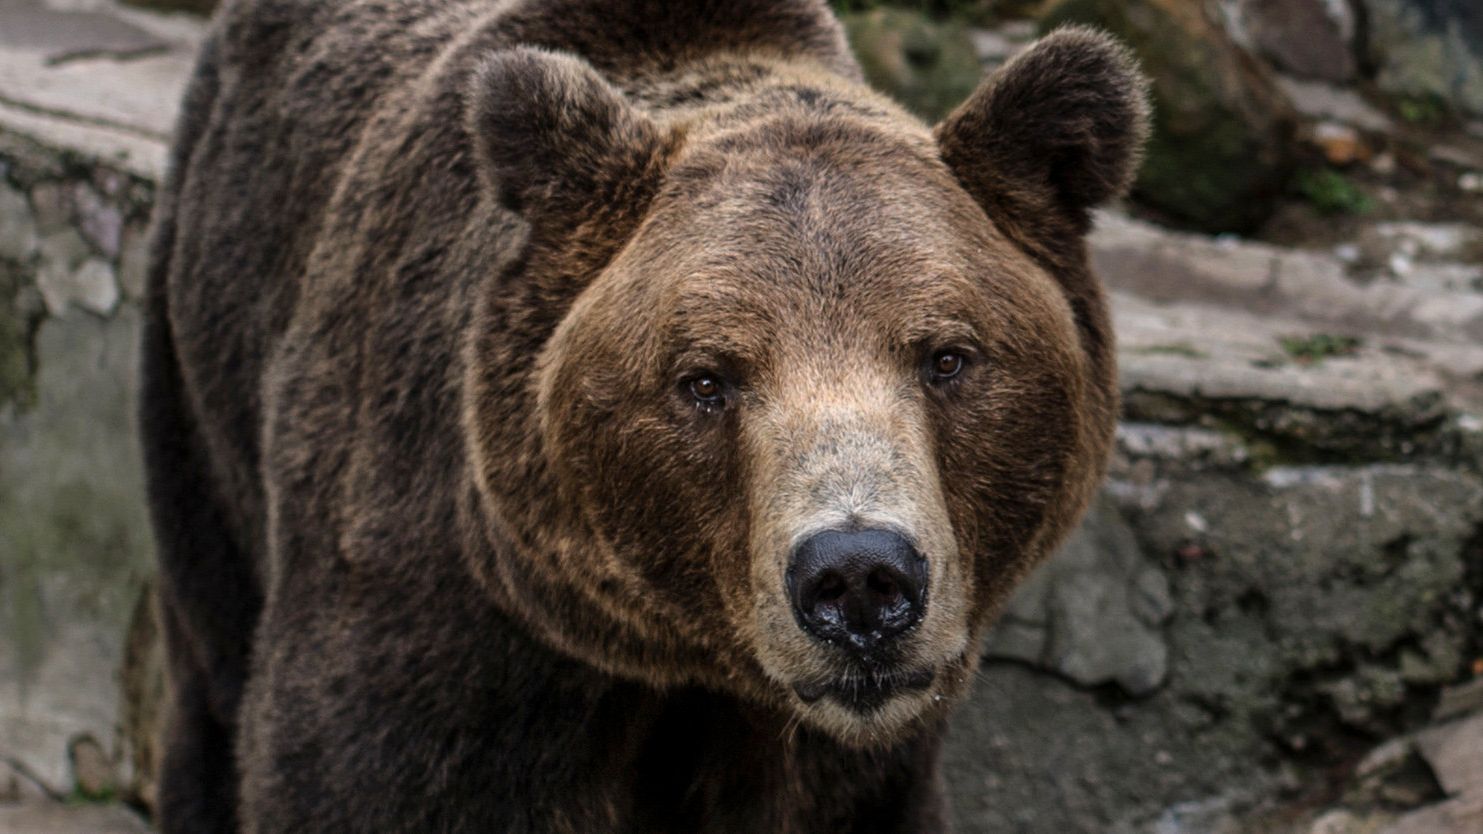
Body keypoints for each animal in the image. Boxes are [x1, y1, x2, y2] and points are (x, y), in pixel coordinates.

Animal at [138, 0, 1148, 831]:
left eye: (946, 357)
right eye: (704, 379)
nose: (859, 576)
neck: (685, 663)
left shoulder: (851, 756)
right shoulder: (446, 619)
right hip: (203, 378)